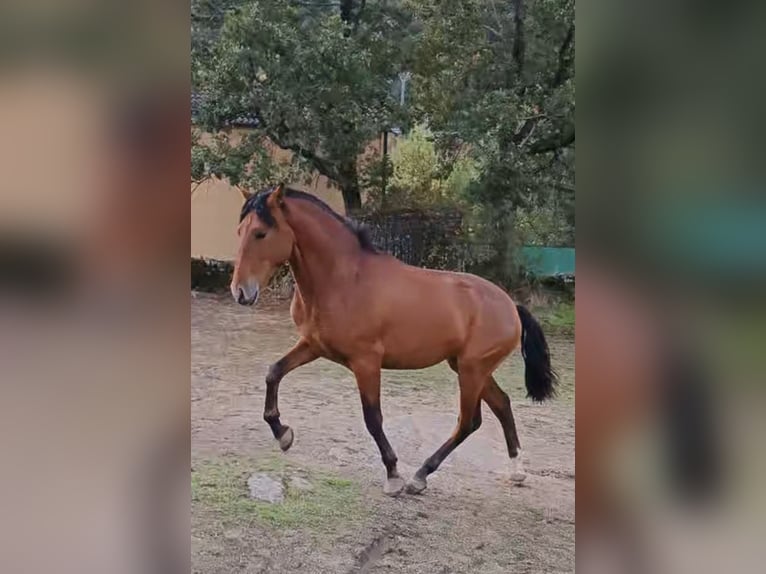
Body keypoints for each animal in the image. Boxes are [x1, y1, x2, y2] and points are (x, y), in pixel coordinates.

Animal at [230, 183, 560, 496]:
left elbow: (373, 418)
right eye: (240, 231)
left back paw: (419, 476)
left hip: (472, 370)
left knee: (469, 421)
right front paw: (282, 433)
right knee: (501, 404)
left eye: (260, 233)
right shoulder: (313, 346)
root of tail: (511, 306)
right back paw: (516, 471)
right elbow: (273, 372)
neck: (343, 280)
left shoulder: (366, 361)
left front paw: (393, 475)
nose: (240, 292)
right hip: (467, 367)